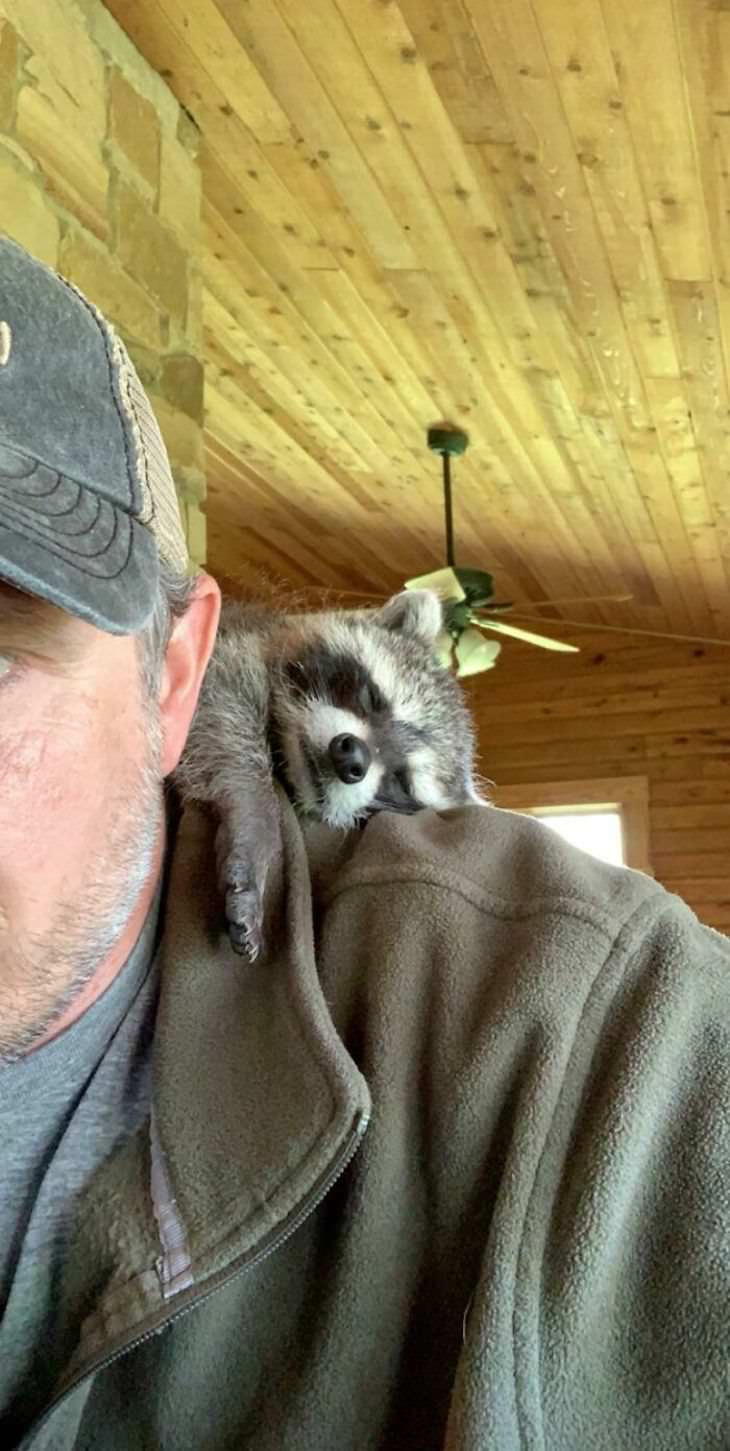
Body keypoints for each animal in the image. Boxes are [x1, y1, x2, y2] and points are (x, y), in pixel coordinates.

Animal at [174, 589, 484, 963]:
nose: (350, 756)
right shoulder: (233, 636)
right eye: (372, 699)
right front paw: (252, 814)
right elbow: (218, 694)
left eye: (400, 780)